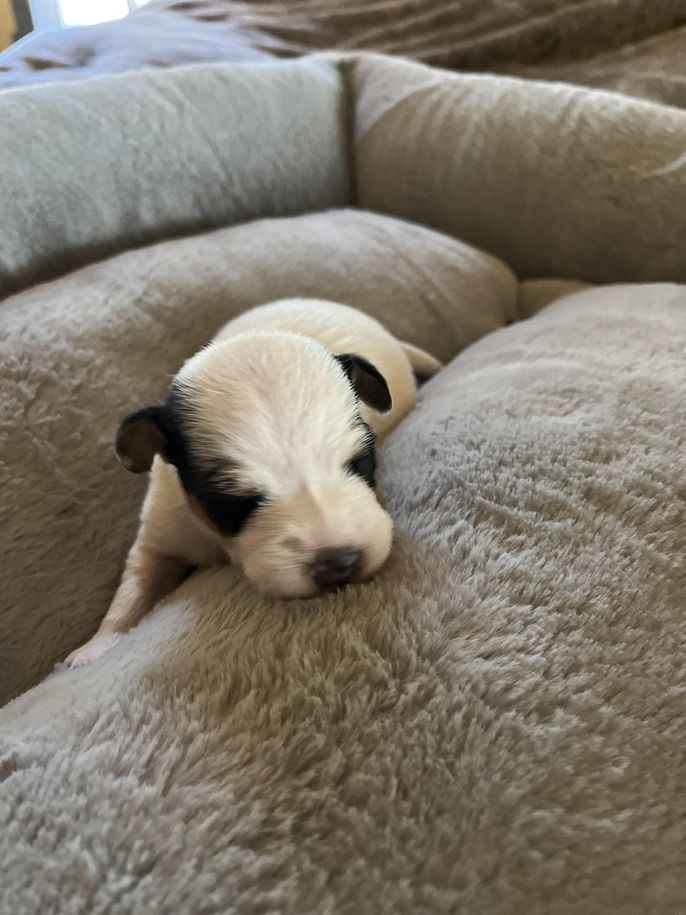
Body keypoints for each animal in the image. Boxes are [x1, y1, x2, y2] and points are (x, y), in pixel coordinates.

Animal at [65, 299, 442, 667]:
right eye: (234, 501)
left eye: (359, 462)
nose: (339, 563)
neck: (222, 545)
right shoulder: (166, 525)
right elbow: (137, 582)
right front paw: (97, 646)